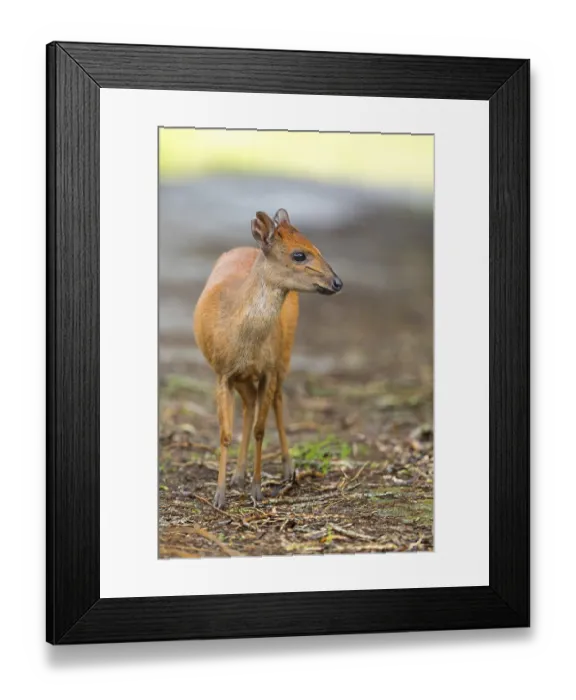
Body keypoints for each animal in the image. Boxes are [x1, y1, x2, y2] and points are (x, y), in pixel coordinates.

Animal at [193, 208, 343, 508]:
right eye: (299, 254)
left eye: (318, 248)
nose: (337, 282)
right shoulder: (223, 372)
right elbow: (225, 434)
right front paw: (220, 496)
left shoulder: (268, 370)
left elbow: (261, 429)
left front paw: (257, 490)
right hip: (244, 377)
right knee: (249, 405)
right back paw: (238, 476)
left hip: (284, 355)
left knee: (277, 401)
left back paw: (287, 469)